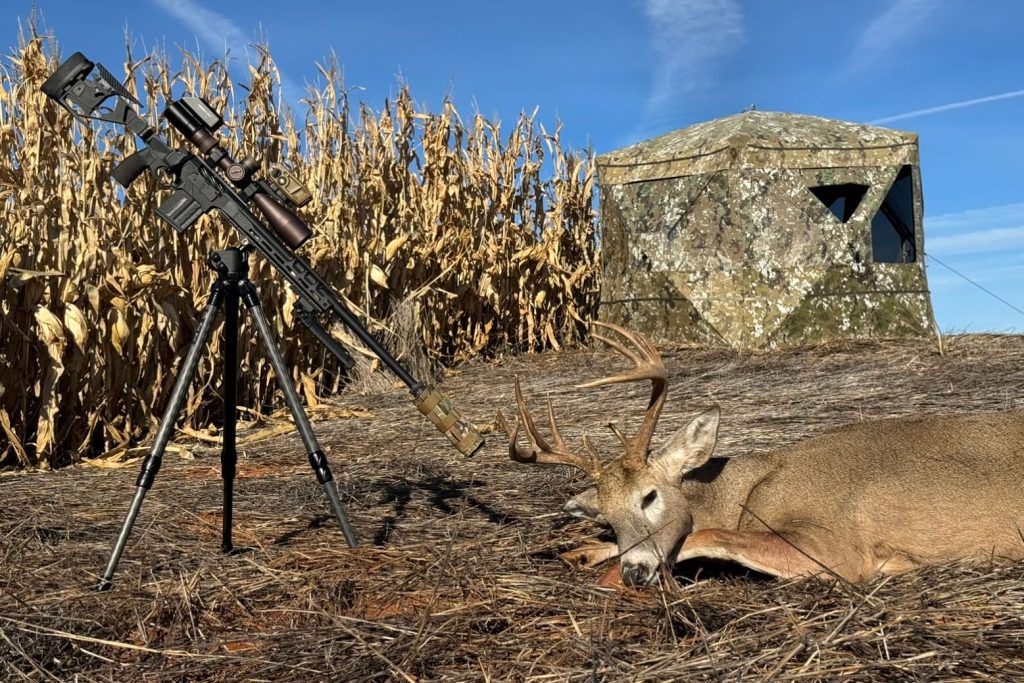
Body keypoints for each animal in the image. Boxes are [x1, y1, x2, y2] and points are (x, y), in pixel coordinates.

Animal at [499, 325, 1024, 589]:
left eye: (649, 496)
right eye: (606, 515)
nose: (635, 572)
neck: (745, 489)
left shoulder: (837, 547)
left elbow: (702, 534)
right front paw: (583, 550)